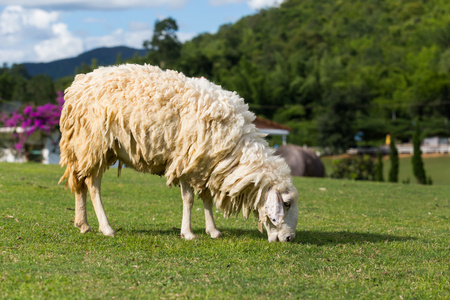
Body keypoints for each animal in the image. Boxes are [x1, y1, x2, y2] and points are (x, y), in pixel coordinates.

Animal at [59, 64, 298, 243]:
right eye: (286, 204)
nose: (289, 239)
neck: (237, 148)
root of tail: (78, 84)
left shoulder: (207, 165)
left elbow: (207, 199)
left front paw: (213, 231)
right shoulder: (186, 160)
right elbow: (189, 199)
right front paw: (188, 233)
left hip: (89, 147)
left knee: (80, 182)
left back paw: (83, 224)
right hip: (94, 142)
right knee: (92, 185)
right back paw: (106, 227)